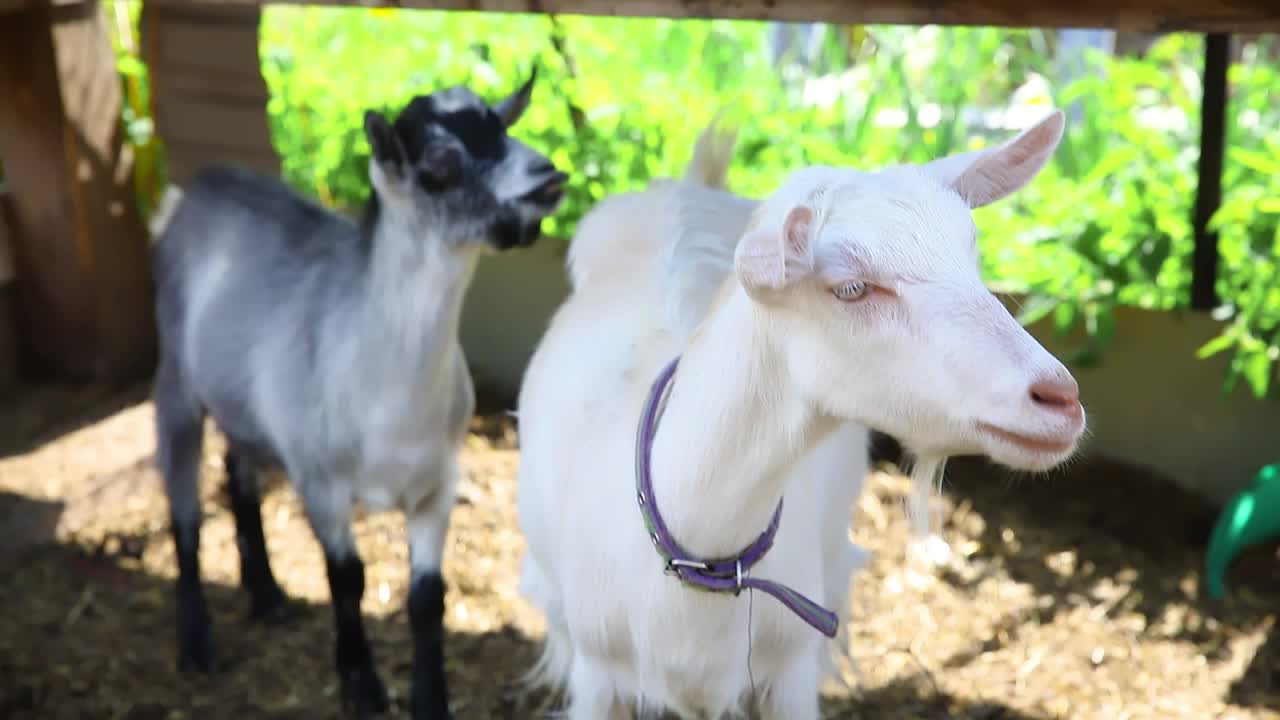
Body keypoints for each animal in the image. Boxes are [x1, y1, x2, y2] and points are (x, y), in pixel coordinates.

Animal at [149, 70, 565, 712]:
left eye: (503, 127)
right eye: (439, 164)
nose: (548, 176)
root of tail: (196, 189)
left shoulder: (437, 485)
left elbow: (427, 598)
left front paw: (430, 699)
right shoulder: (320, 482)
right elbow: (347, 580)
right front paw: (362, 685)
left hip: (246, 405)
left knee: (238, 471)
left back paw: (267, 596)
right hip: (175, 379)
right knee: (184, 504)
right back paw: (196, 643)